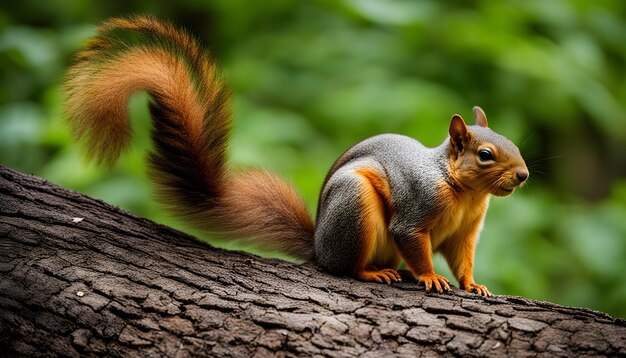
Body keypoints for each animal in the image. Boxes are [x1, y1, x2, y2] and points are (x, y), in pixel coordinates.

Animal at [64, 16, 528, 296]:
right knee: (342, 267)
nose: (523, 175)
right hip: (354, 205)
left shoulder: (467, 230)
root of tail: (319, 244)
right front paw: (430, 276)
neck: (461, 189)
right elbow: (414, 242)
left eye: (513, 143)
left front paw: (473, 284)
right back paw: (371, 271)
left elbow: (462, 257)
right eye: (486, 155)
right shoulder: (416, 210)